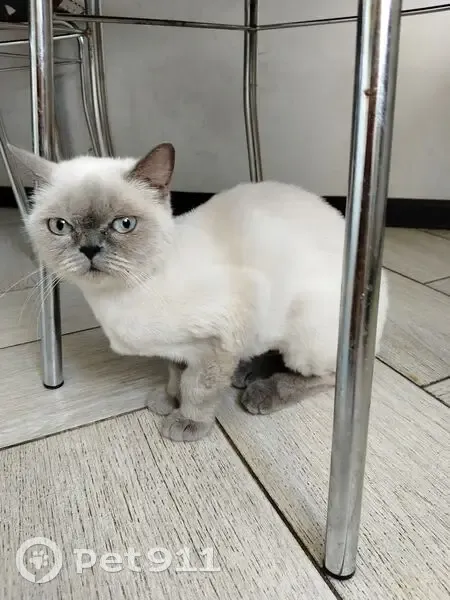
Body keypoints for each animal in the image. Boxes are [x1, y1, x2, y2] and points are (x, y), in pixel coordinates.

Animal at [10, 142, 388, 442]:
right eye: (60, 227)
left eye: (124, 224)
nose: (89, 250)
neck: (122, 297)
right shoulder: (180, 349)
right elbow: (175, 376)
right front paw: (167, 402)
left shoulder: (216, 342)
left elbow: (197, 388)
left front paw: (187, 422)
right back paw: (245, 372)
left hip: (306, 338)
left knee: (328, 377)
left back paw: (261, 390)